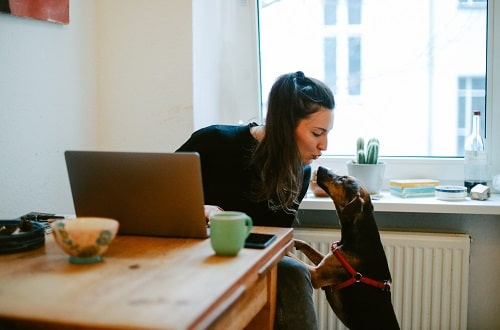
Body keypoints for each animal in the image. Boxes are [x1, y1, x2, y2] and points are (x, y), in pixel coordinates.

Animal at [294, 166, 400, 328]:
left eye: (341, 179)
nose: (319, 167)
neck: (358, 236)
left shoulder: (317, 275)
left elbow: (295, 260)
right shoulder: (326, 260)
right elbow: (307, 246)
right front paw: (293, 242)